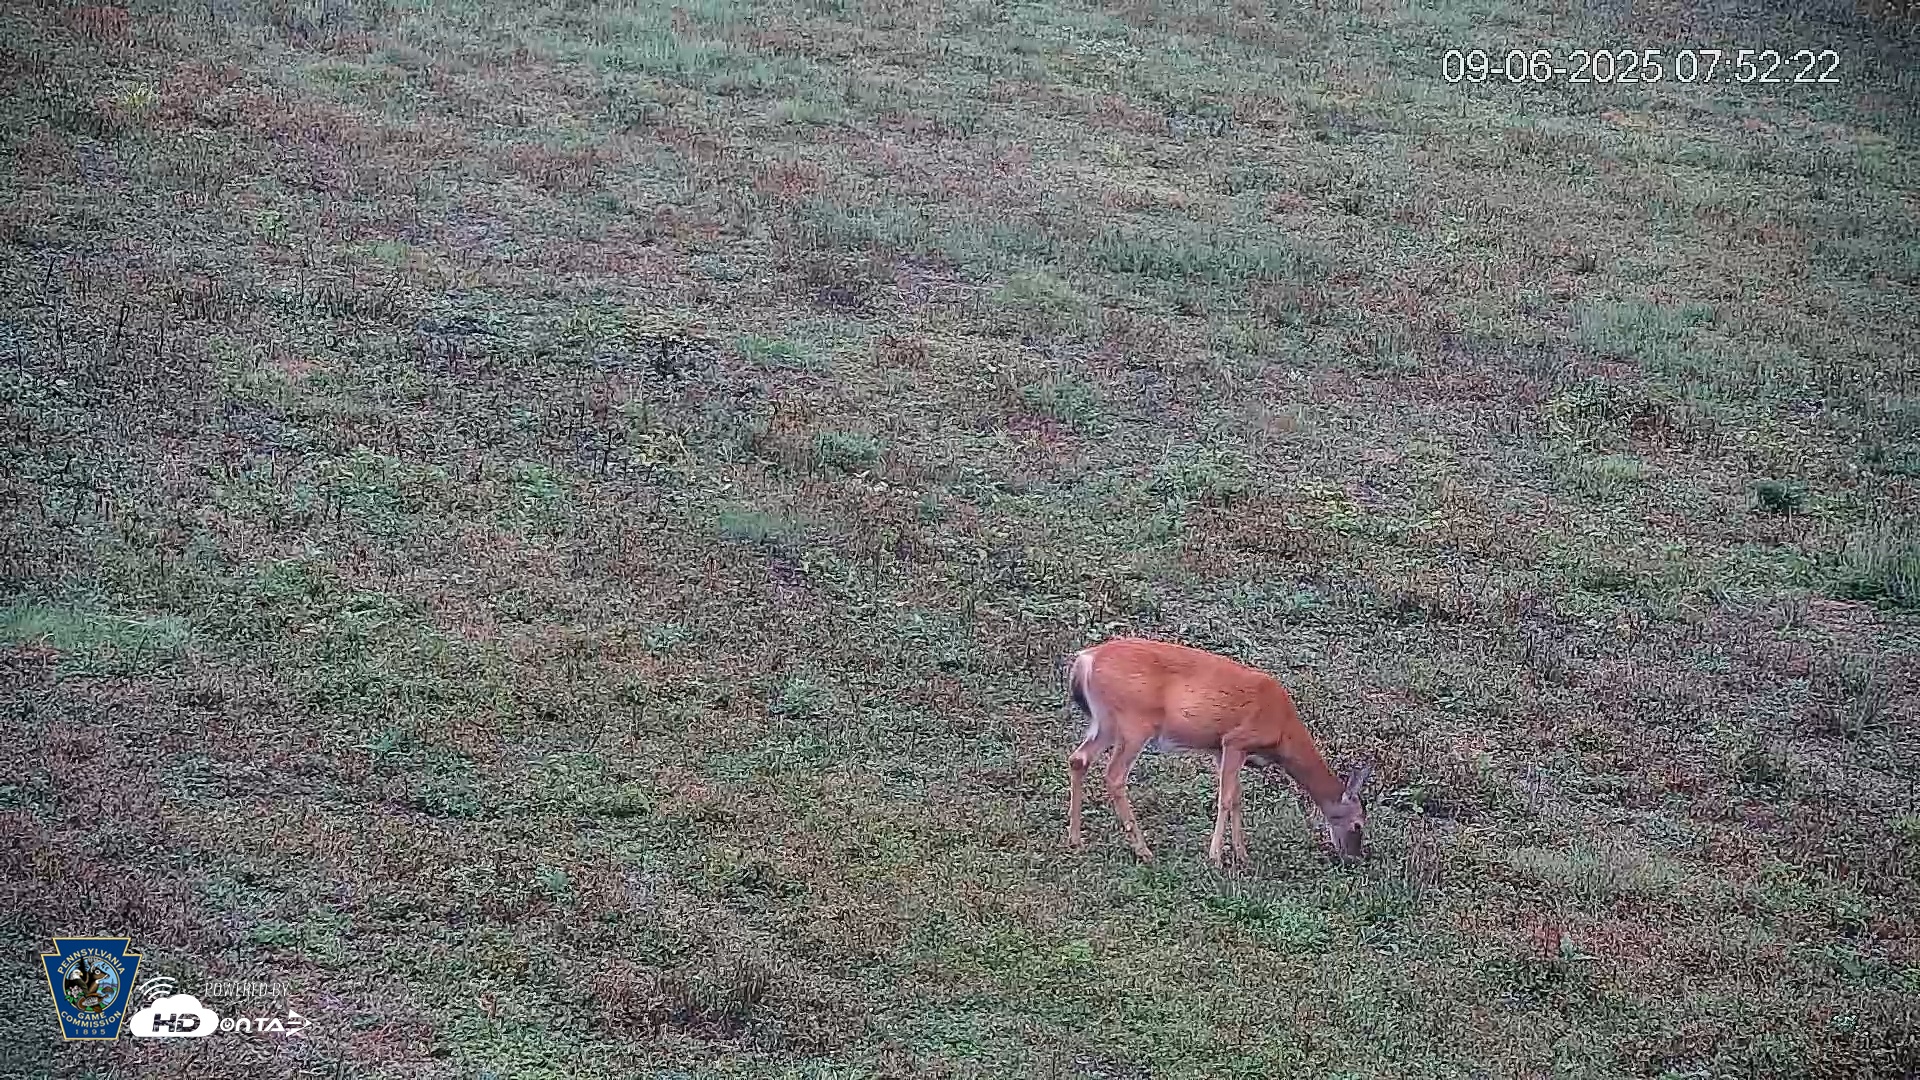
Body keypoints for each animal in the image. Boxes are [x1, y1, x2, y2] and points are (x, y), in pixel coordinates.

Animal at [1064, 636, 1374, 866]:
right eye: (1358, 824)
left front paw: (1242, 854)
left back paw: (1076, 839)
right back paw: (1143, 850)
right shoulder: (1236, 740)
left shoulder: (1219, 748)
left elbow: (1236, 796)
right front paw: (1215, 856)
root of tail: (1086, 660)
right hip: (1134, 722)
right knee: (1114, 775)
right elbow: (1225, 798)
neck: (1283, 731)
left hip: (1105, 722)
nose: (1353, 858)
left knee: (1078, 759)